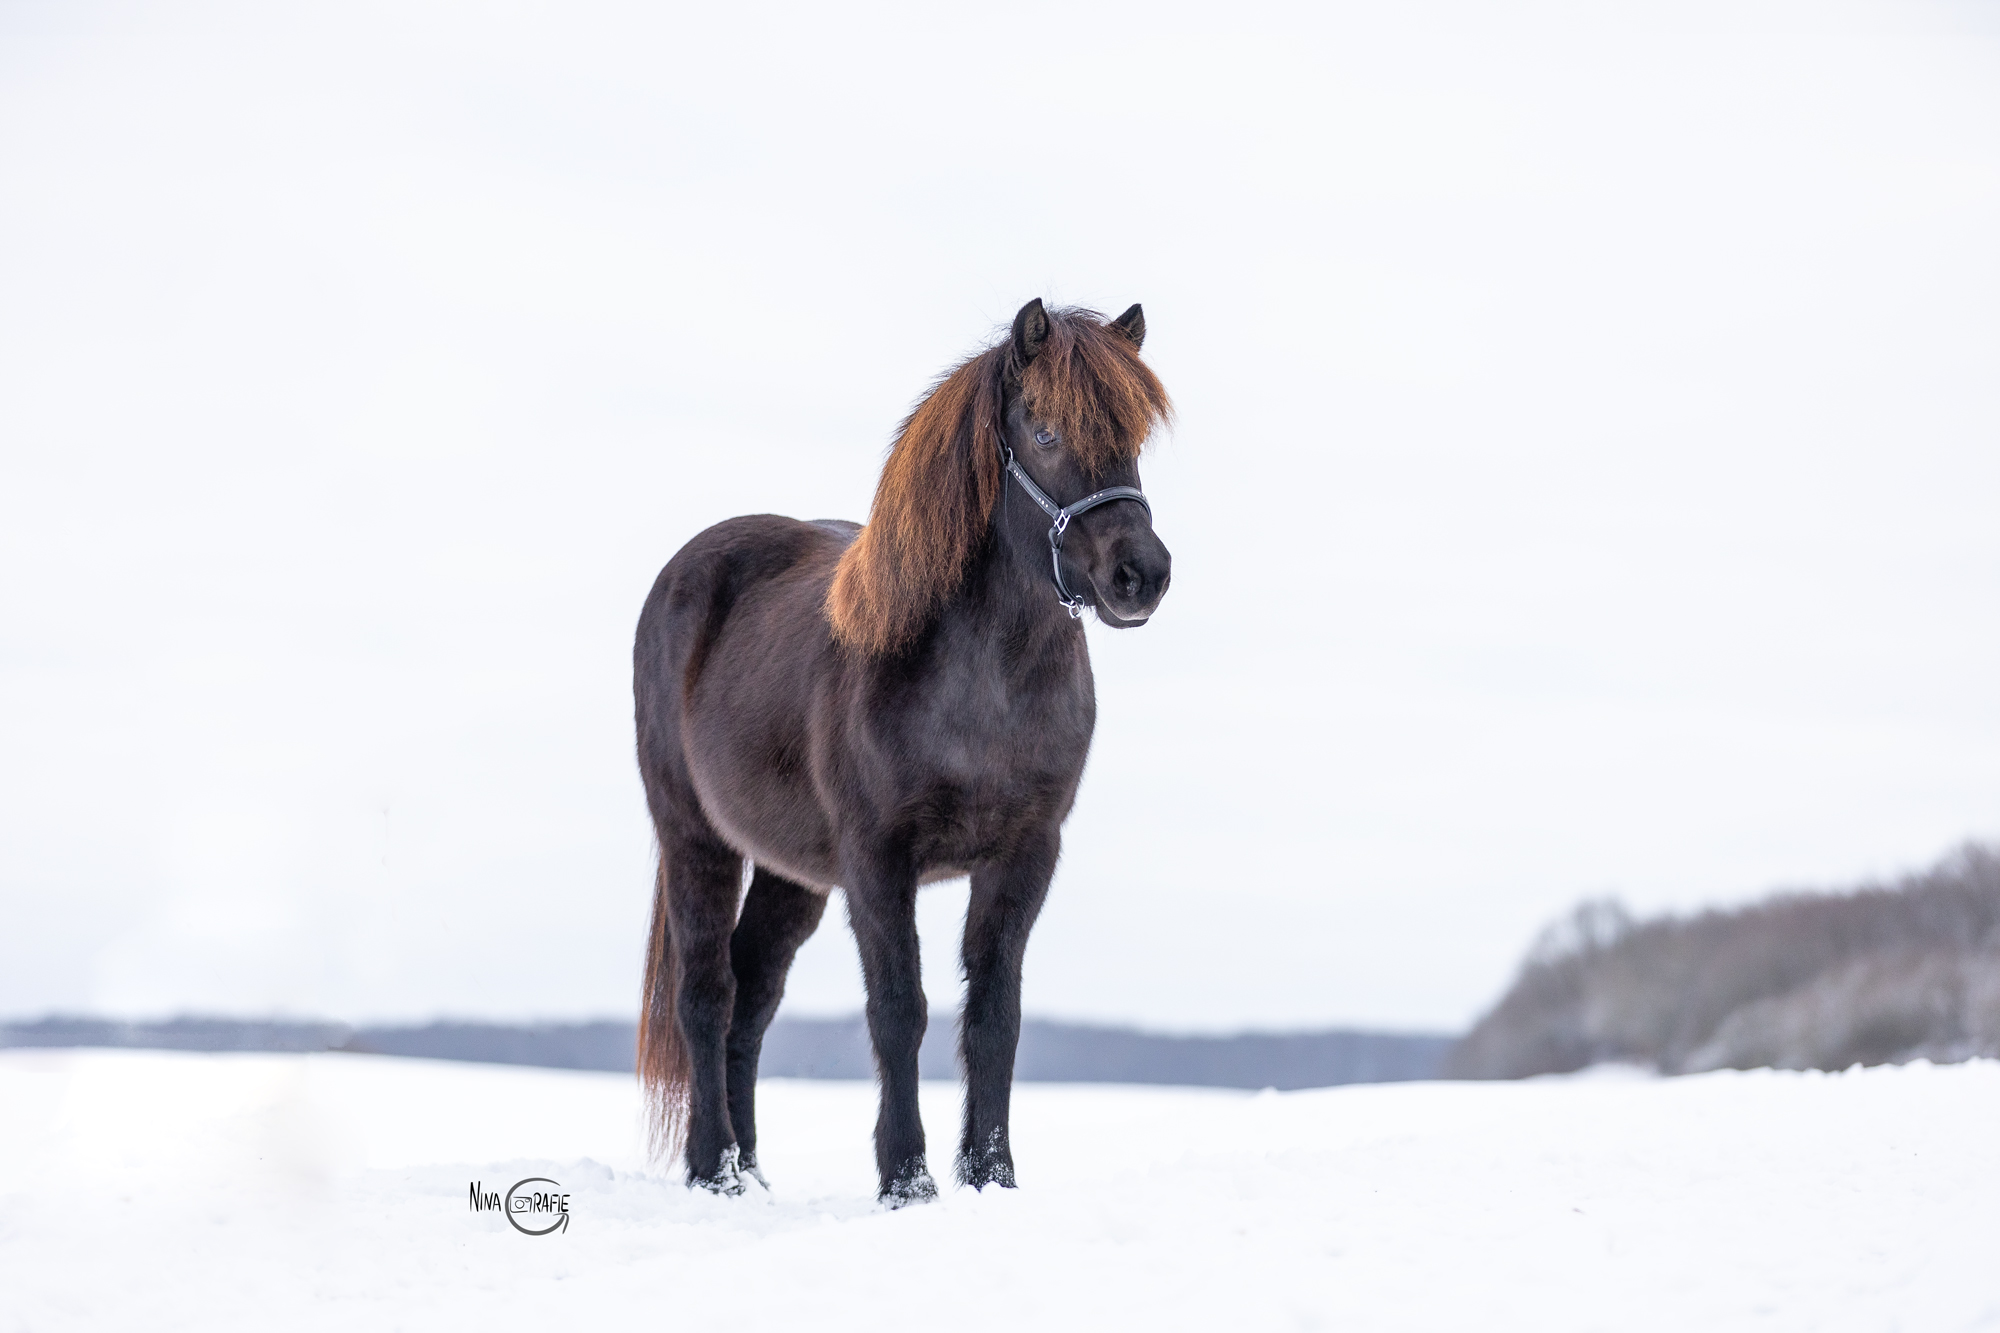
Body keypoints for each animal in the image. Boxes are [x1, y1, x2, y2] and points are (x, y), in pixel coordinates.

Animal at [633, 298, 1173, 1205]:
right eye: (1045, 429)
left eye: (1134, 434)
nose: (1143, 574)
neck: (980, 686)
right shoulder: (878, 859)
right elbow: (899, 1009)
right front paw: (908, 1180)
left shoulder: (1025, 853)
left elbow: (994, 1013)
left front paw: (992, 1176)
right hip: (695, 839)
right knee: (706, 993)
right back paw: (715, 1171)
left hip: (792, 872)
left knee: (753, 995)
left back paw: (754, 1168)